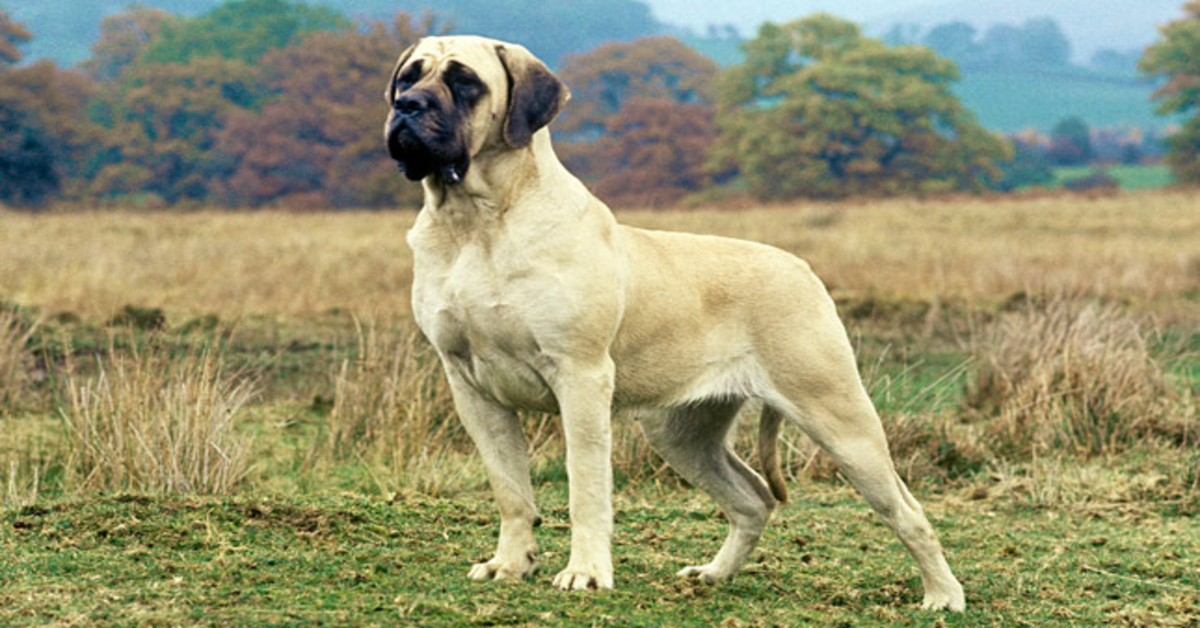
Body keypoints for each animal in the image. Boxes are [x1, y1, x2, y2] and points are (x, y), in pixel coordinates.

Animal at [384, 35, 964, 614]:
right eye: (409, 77)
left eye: (465, 82)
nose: (407, 106)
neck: (475, 221)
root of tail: (802, 268)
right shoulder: (471, 386)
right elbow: (510, 487)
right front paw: (509, 563)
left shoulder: (580, 378)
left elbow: (585, 487)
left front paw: (586, 573)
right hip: (680, 432)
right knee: (752, 498)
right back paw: (714, 574)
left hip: (838, 418)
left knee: (906, 511)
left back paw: (943, 595)